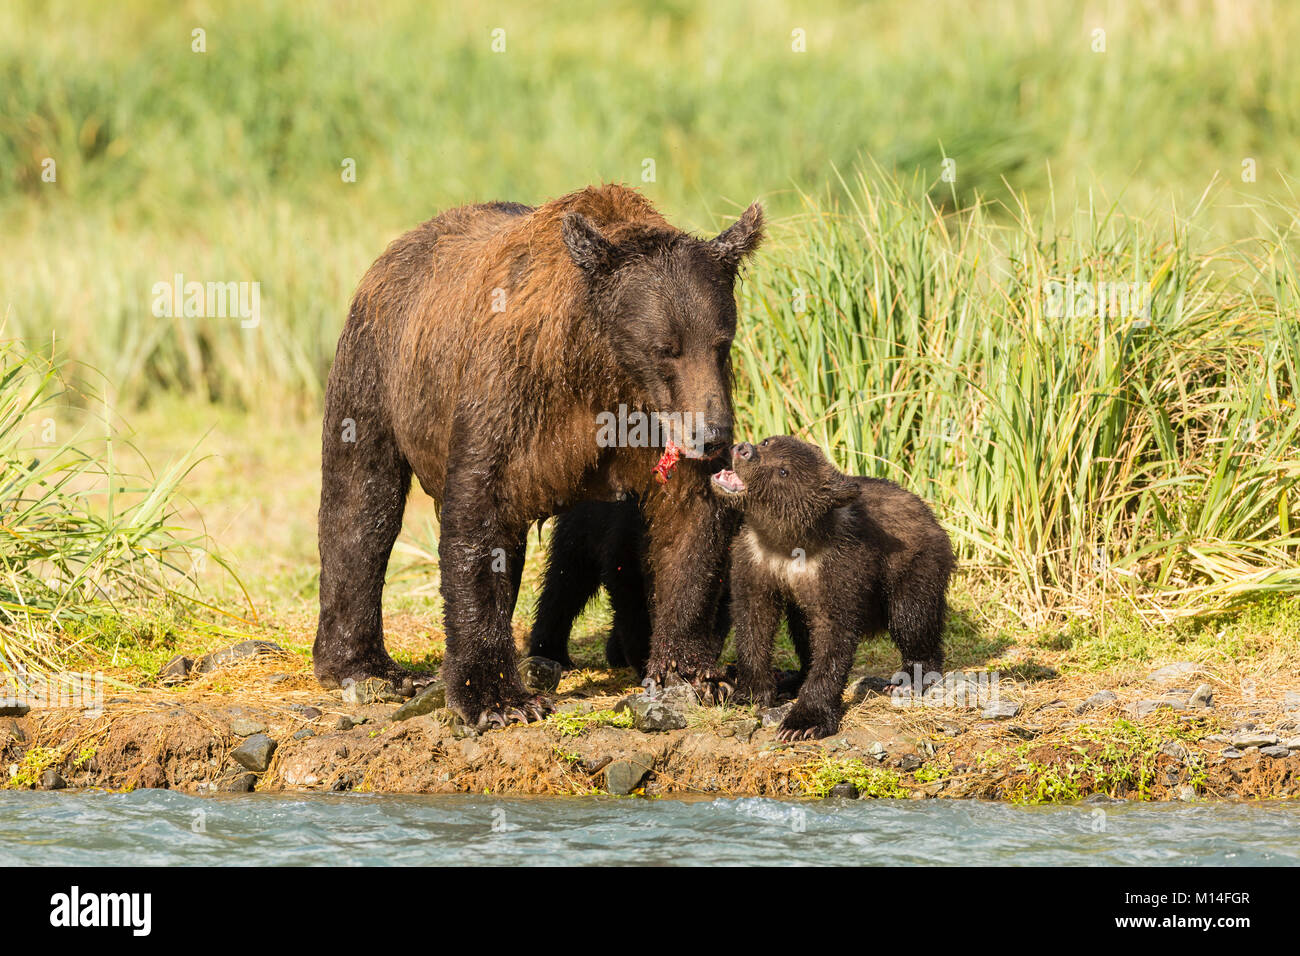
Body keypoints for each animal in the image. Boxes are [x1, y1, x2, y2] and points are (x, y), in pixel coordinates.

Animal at [527, 499, 733, 677]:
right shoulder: (625, 530)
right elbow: (627, 586)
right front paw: (646, 659)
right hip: (582, 517)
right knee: (568, 579)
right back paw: (552, 655)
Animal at [710, 435, 954, 740]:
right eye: (768, 441)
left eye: (783, 471)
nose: (744, 449)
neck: (786, 542)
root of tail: (931, 515)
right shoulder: (754, 561)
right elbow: (753, 621)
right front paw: (749, 692)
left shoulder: (838, 568)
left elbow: (833, 637)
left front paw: (802, 722)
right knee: (802, 628)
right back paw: (792, 678)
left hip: (916, 563)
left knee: (912, 617)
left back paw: (910, 679)